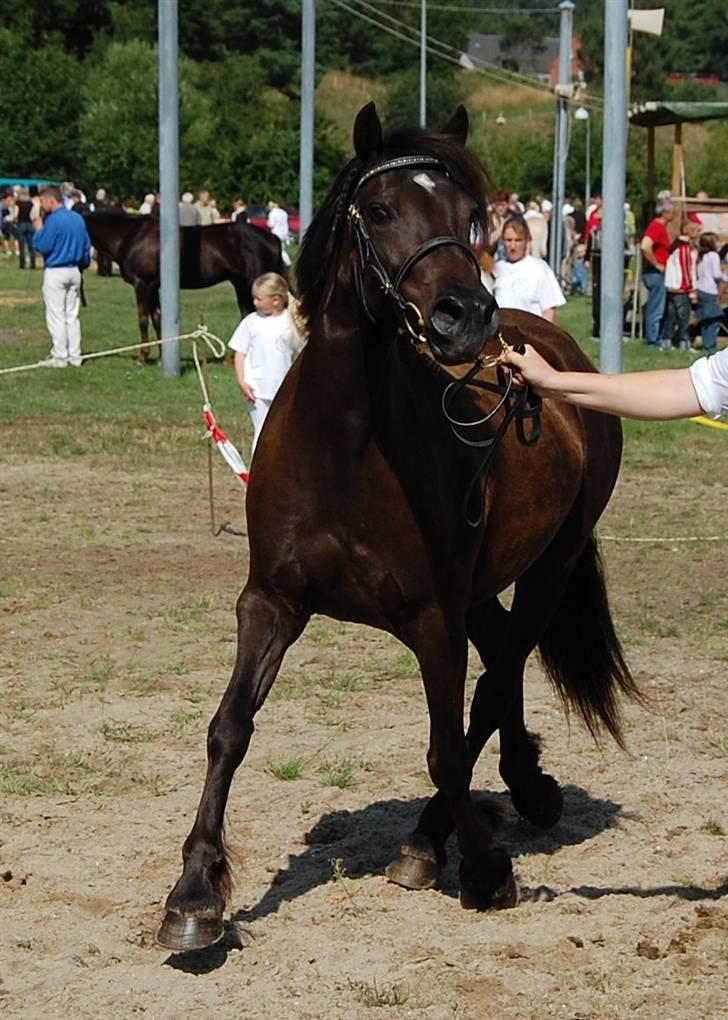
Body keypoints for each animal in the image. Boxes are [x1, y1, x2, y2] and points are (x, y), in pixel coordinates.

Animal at [85, 211, 285, 363]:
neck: (129, 235)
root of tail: (273, 238)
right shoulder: (153, 287)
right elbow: (157, 318)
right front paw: (162, 358)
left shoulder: (142, 284)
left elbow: (143, 320)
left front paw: (142, 357)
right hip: (241, 284)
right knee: (246, 314)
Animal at [157, 103, 636, 946]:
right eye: (378, 211)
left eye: (471, 215)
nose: (464, 317)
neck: (345, 450)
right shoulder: (271, 601)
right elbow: (229, 727)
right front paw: (194, 892)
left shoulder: (431, 619)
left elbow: (446, 745)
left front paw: (483, 870)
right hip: (483, 587)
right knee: (502, 667)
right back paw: (524, 785)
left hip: (548, 570)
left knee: (496, 682)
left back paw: (433, 837)